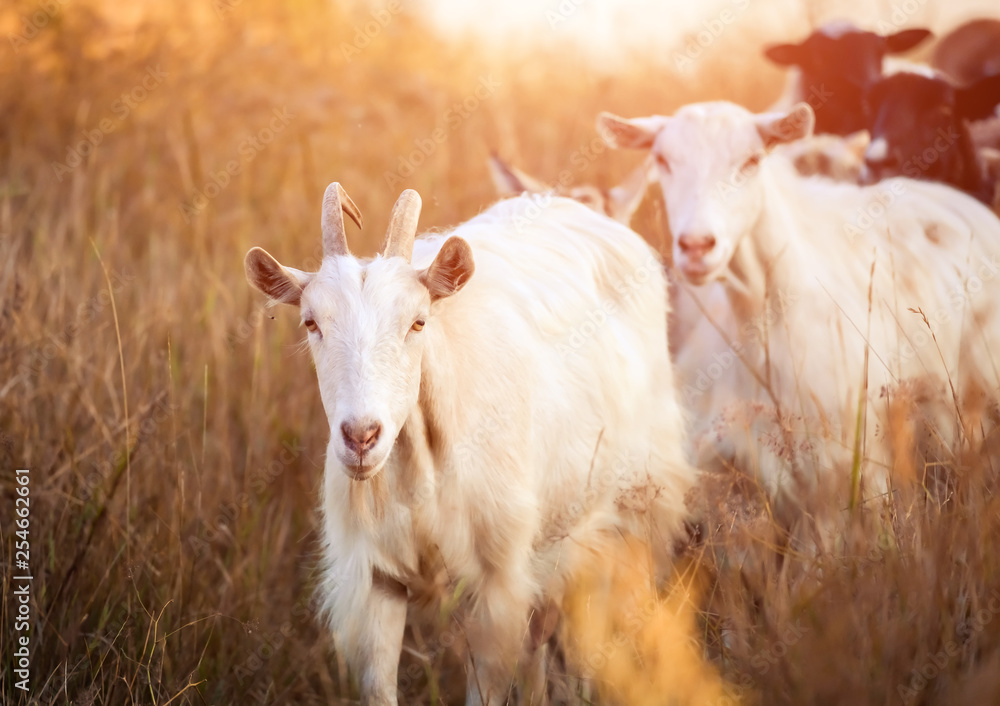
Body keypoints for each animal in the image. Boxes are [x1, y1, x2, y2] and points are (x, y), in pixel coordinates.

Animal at [243, 184, 696, 700]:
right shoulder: (374, 581)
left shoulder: (498, 586)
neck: (420, 468)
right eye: (311, 323)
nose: (361, 436)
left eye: (418, 322)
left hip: (633, 515)